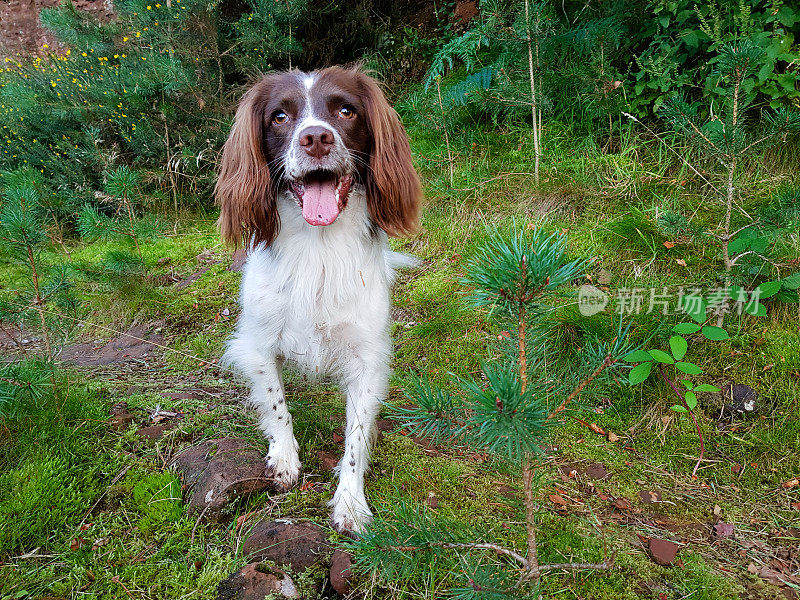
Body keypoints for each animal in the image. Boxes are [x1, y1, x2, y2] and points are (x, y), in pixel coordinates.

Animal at [212, 67, 424, 536]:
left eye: (345, 110)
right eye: (279, 117)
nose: (315, 138)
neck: (319, 249)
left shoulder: (368, 360)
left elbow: (356, 438)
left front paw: (350, 502)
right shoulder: (256, 344)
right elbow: (276, 405)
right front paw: (285, 459)